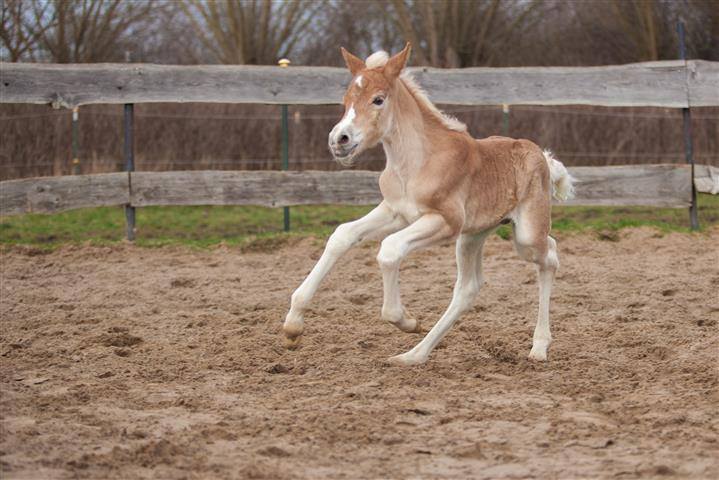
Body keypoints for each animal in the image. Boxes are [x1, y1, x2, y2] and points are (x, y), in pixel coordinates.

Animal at [284, 46, 576, 368]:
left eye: (378, 99)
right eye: (346, 99)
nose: (339, 140)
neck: (417, 161)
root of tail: (543, 157)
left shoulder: (445, 222)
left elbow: (389, 250)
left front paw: (406, 320)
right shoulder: (395, 211)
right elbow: (342, 235)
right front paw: (293, 326)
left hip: (524, 236)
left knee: (550, 255)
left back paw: (539, 347)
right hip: (472, 236)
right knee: (468, 288)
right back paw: (413, 355)